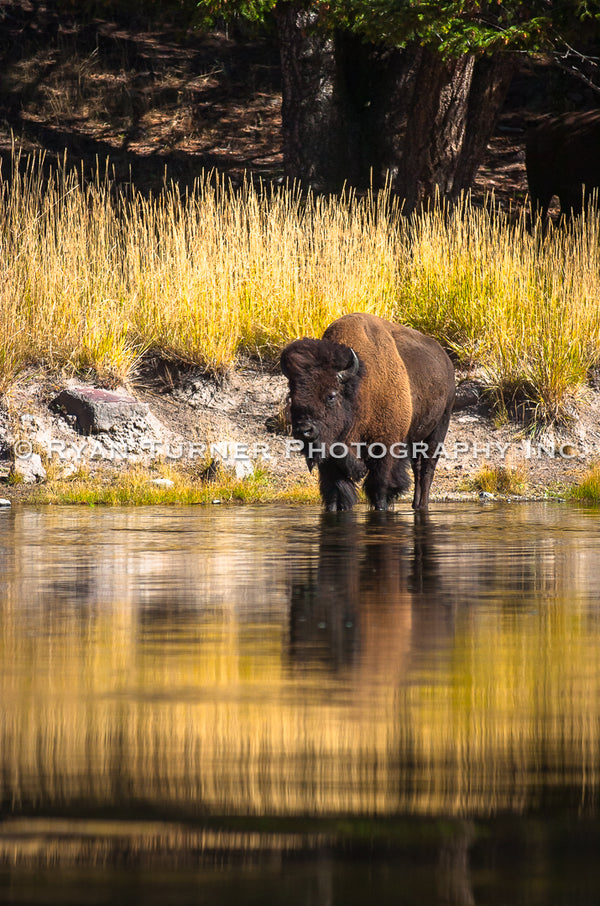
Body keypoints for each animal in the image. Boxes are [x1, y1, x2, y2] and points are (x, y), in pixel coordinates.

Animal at [282, 310, 454, 508]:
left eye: (331, 395)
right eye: (291, 396)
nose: (304, 430)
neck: (359, 390)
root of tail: (446, 360)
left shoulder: (386, 446)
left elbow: (380, 488)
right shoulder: (330, 459)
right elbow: (335, 491)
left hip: (439, 428)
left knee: (427, 469)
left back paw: (422, 505)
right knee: (417, 468)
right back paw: (415, 504)